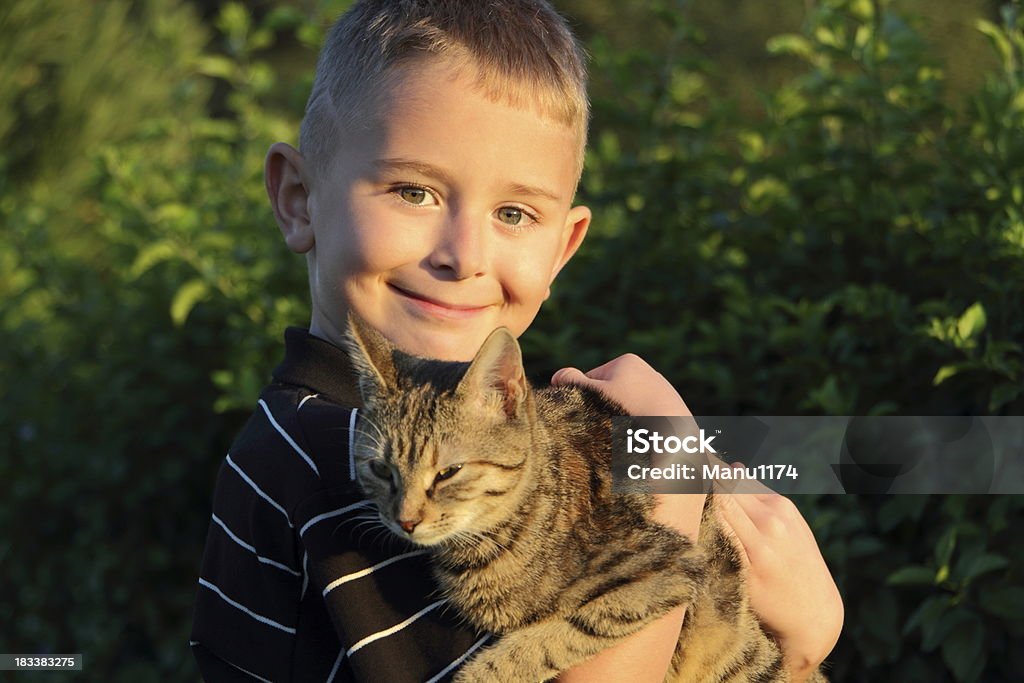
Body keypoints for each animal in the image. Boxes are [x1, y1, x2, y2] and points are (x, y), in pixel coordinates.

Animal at [342, 317, 823, 679]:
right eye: (380, 470)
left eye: (448, 473)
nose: (405, 520)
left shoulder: (668, 569)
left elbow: (549, 640)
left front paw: (483, 674)